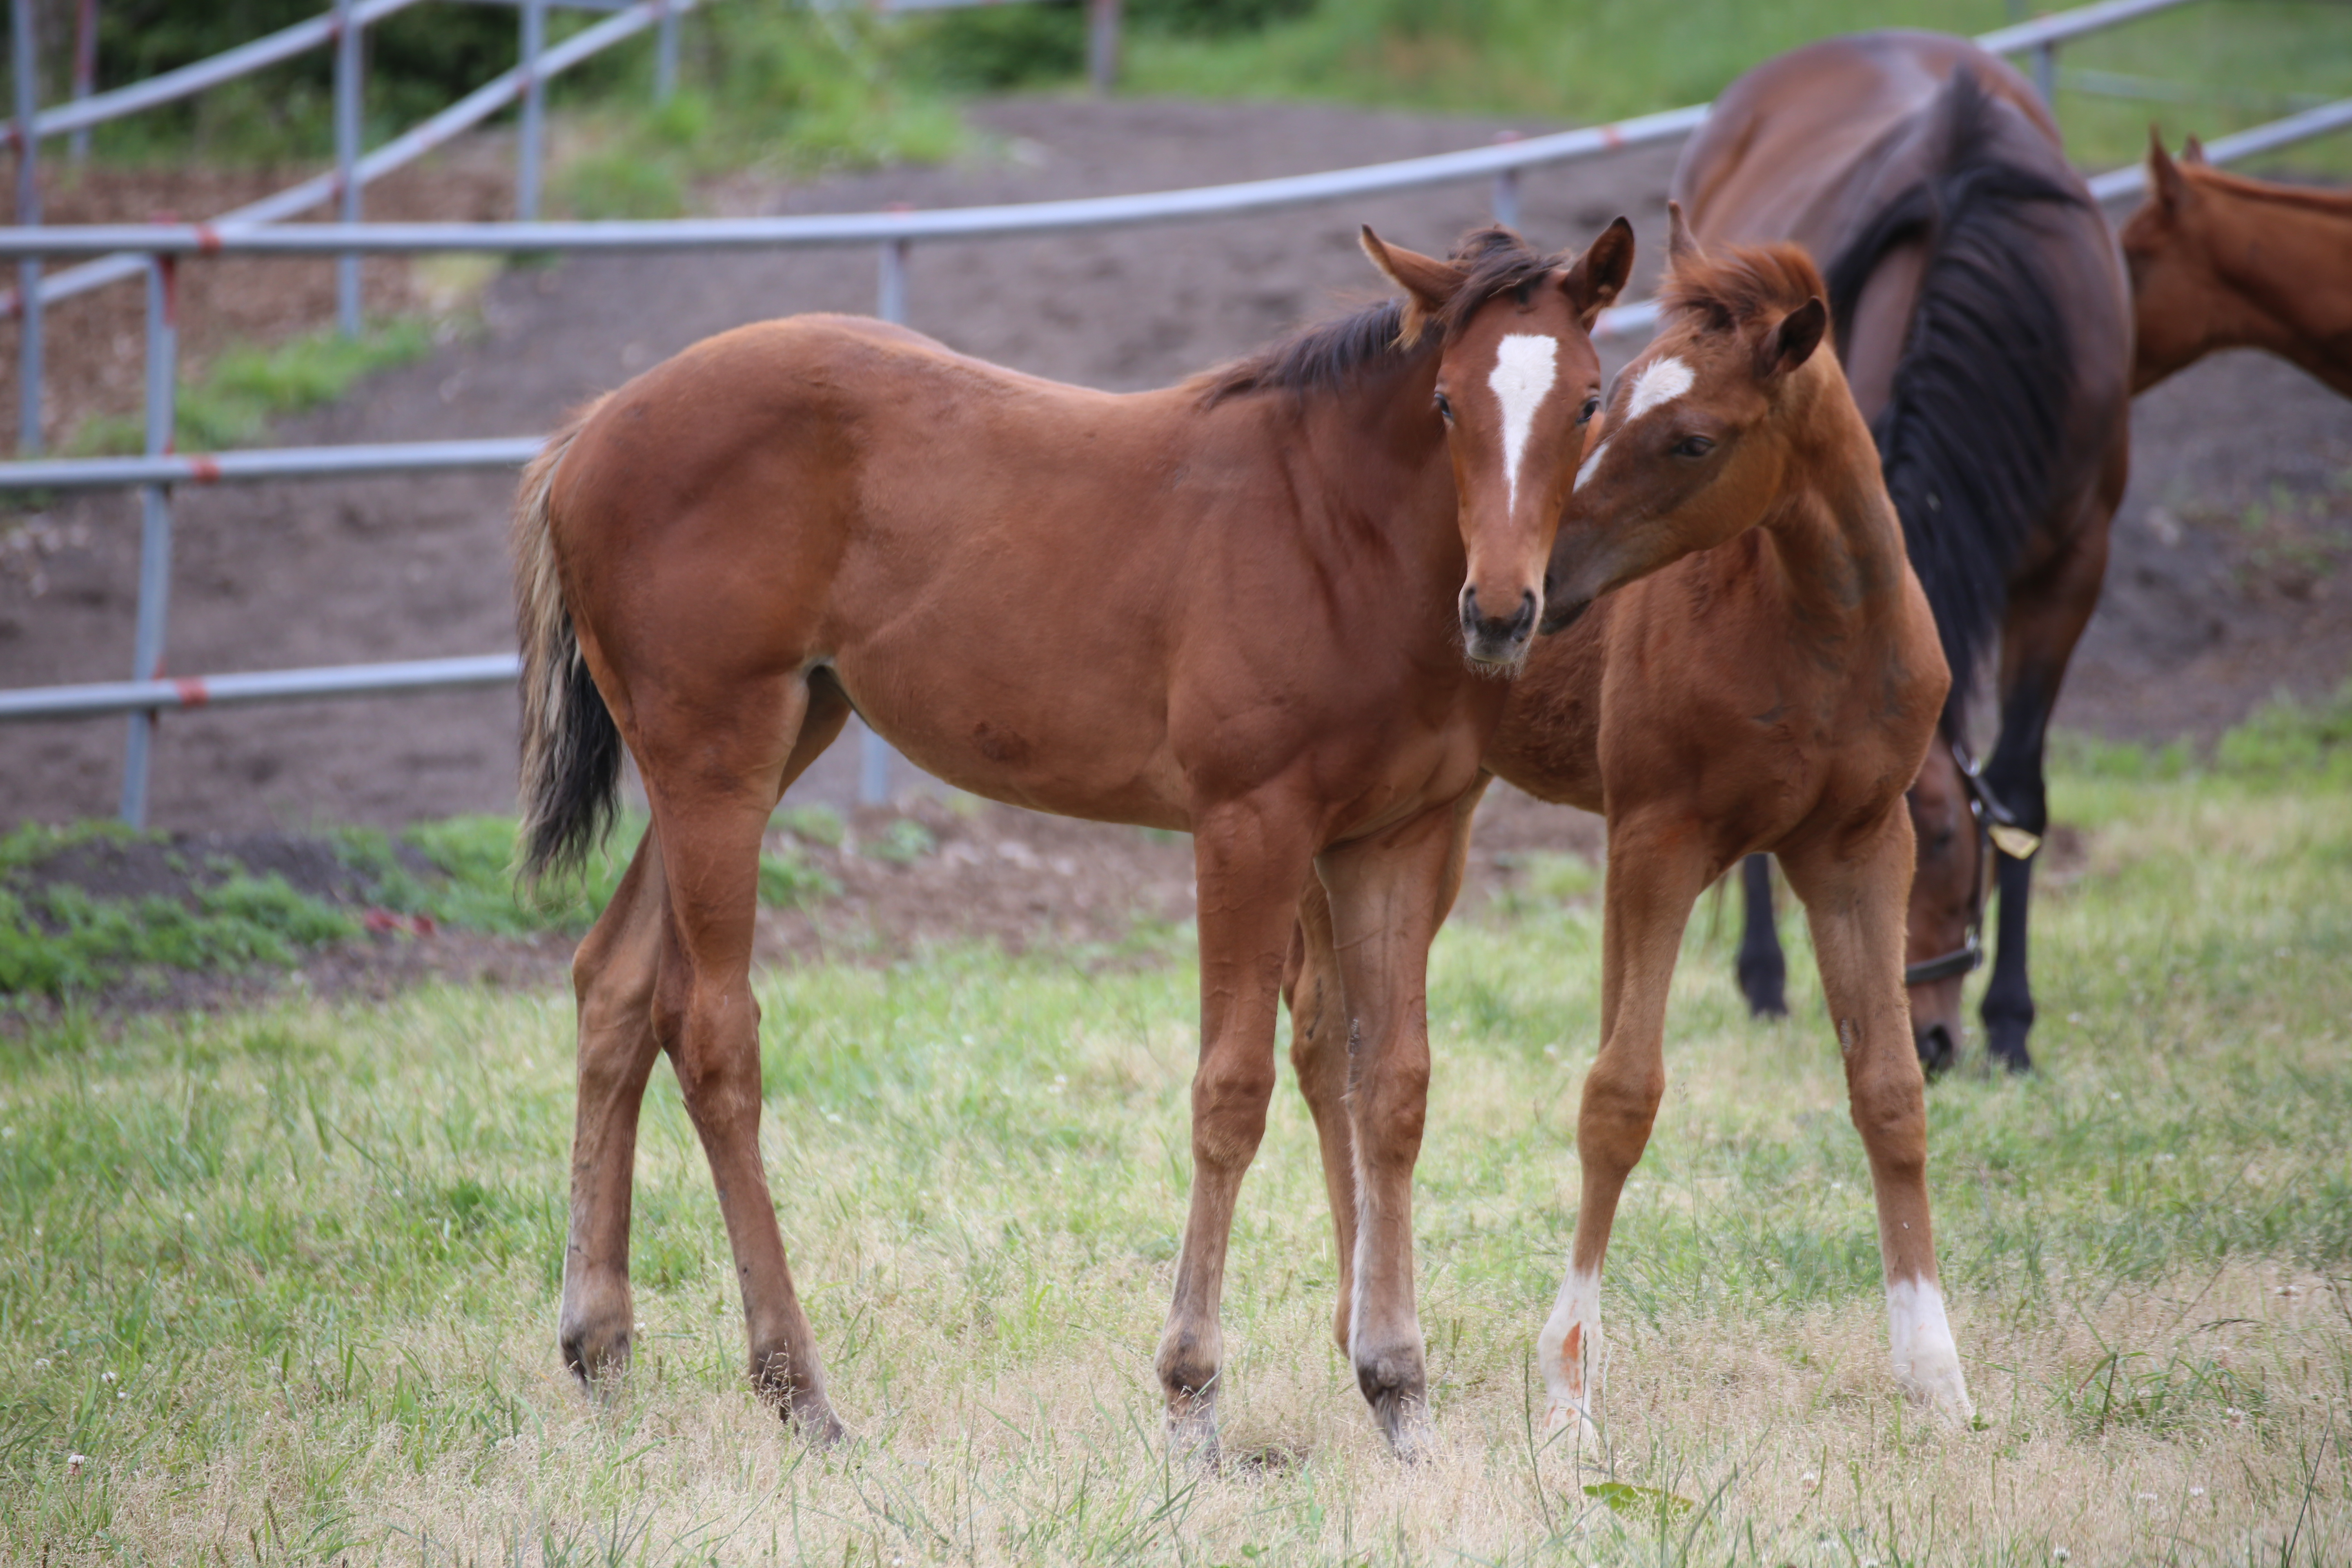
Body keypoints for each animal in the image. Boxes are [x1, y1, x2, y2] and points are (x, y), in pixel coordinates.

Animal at [510, 221, 1637, 1457]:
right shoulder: (1249, 824)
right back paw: (798, 1389)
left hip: (773, 738)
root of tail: (591, 431)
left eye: (1588, 401)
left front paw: (1398, 1396)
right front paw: (1191, 1398)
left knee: (614, 982)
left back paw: (599, 1349)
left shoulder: (1400, 838)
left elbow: (1390, 1089)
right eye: (1443, 402)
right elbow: (1230, 1092)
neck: (1332, 537)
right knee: (710, 1029)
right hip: (717, 756)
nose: (1502, 612)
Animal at [1289, 215, 1966, 1457]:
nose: (1528, 591)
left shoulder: (1855, 844)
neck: (1817, 632)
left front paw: (1937, 1378)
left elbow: (1889, 1090)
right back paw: (1359, 1319)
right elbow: (1618, 1094)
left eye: (1691, 439)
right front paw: (1566, 1390)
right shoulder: (1659, 837)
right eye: (1608, 406)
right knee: (1322, 1037)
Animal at [1675, 31, 2136, 1072]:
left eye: (1942, 849)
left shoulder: (2074, 563)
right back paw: (1762, 978)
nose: (1923, 1037)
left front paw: (2011, 1019)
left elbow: (2017, 790)